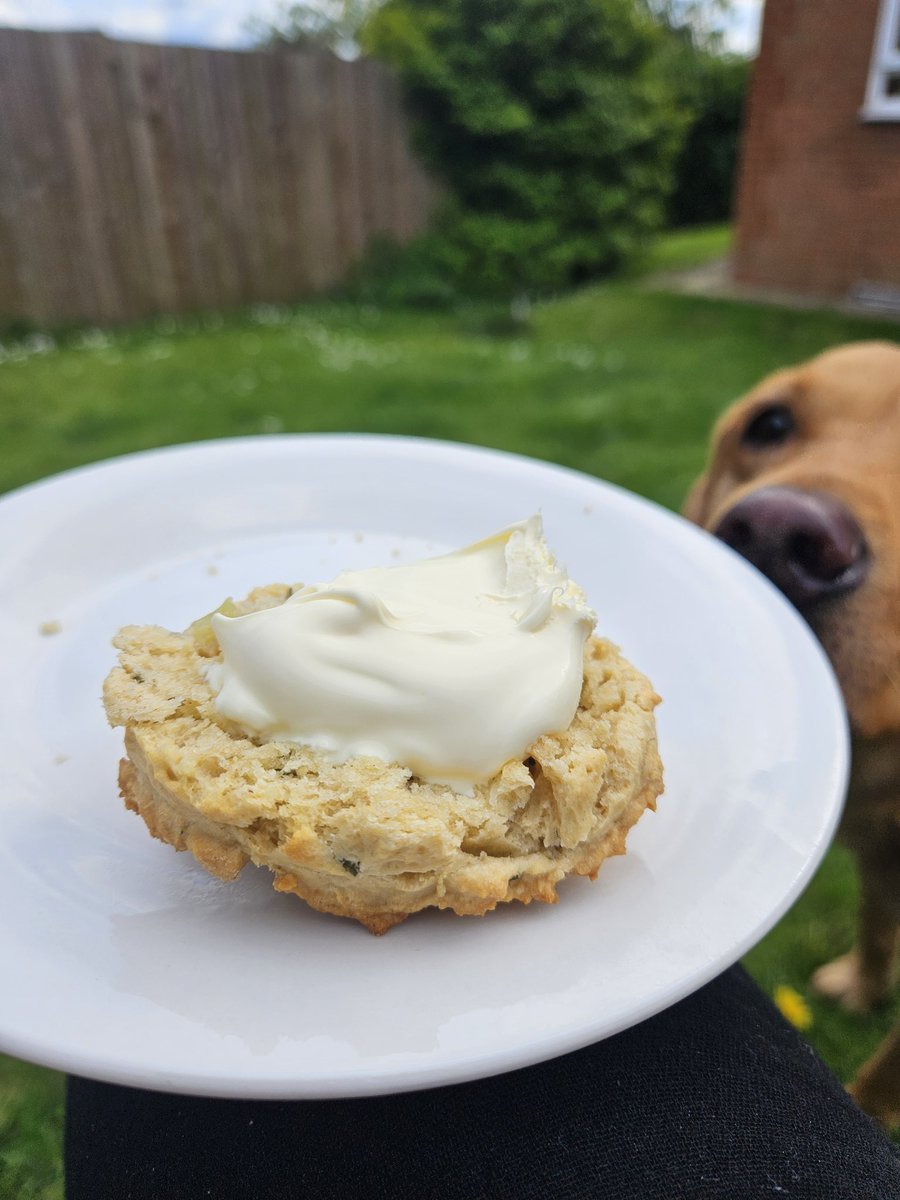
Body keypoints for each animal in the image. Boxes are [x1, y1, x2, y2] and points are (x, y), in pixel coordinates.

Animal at [681, 338, 900, 1123]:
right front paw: (863, 985)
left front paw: (869, 1111)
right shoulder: (876, 861)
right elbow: (875, 919)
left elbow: (888, 1069)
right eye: (769, 425)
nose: (778, 534)